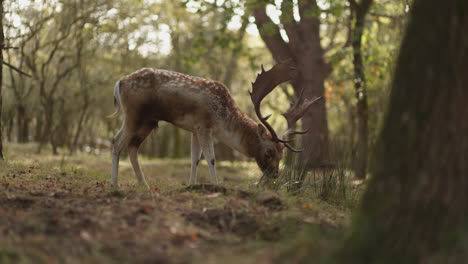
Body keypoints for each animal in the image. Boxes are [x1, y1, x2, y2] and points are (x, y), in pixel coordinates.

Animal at [109, 60, 322, 189]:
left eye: (282, 153)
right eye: (269, 151)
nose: (276, 174)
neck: (223, 119)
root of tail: (119, 83)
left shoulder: (194, 129)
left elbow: (194, 159)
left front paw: (192, 185)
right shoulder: (204, 125)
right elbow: (210, 158)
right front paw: (216, 185)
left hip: (148, 121)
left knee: (132, 147)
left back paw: (144, 185)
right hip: (134, 114)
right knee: (116, 142)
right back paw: (114, 184)